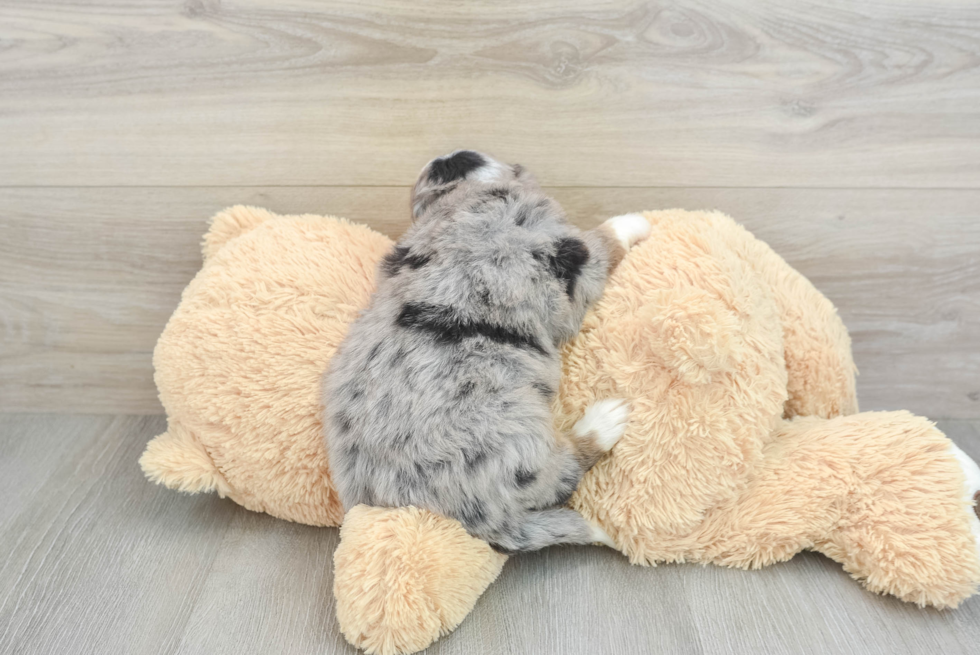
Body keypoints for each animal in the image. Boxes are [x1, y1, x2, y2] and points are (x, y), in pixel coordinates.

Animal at [322, 150, 652, 552]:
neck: (455, 204)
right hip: (520, 440)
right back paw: (605, 421)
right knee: (564, 469)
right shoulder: (572, 265)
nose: (447, 155)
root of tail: (476, 525)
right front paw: (637, 221)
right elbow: (605, 240)